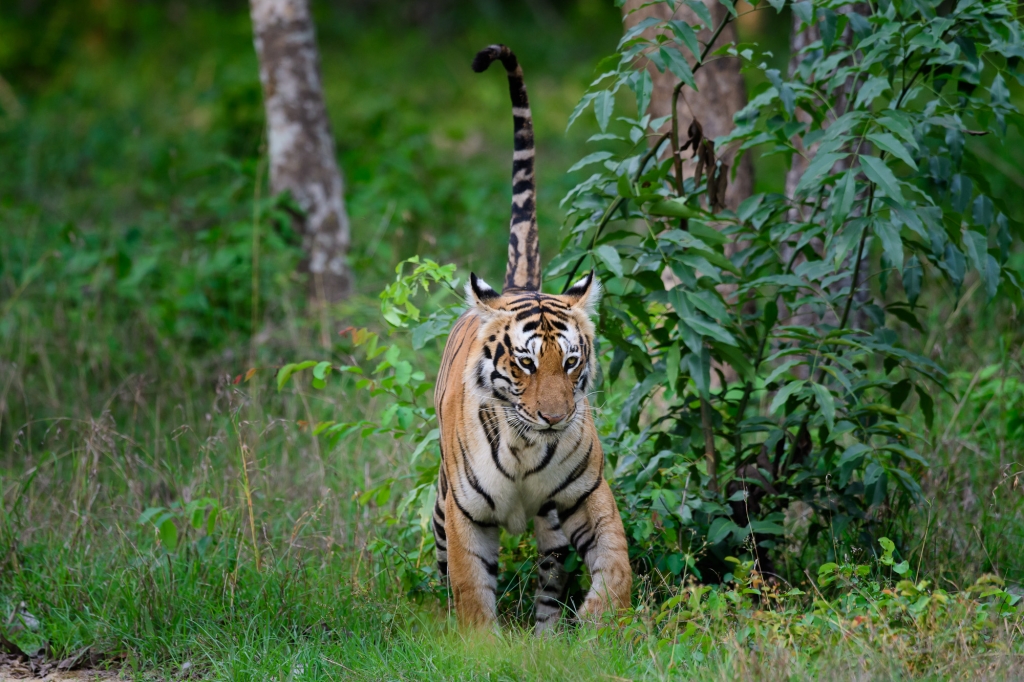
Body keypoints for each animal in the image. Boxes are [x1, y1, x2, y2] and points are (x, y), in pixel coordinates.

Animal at [428, 43, 626, 630]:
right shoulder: (465, 514)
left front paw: (601, 624)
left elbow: (616, 563)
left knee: (550, 576)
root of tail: (518, 282)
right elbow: (471, 590)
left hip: (552, 526)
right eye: (525, 363)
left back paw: (547, 633)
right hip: (440, 506)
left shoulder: (587, 496)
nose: (555, 418)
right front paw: (478, 641)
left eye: (570, 362)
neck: (526, 450)